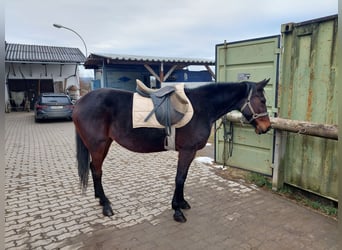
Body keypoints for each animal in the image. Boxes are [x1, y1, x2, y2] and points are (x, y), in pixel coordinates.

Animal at [73, 78, 272, 223]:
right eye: (262, 100)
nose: (266, 127)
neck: (202, 107)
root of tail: (80, 102)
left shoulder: (189, 152)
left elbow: (183, 178)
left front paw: (182, 203)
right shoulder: (187, 151)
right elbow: (180, 178)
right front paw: (177, 210)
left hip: (104, 144)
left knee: (94, 168)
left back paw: (100, 199)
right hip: (98, 145)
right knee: (97, 170)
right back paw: (106, 206)